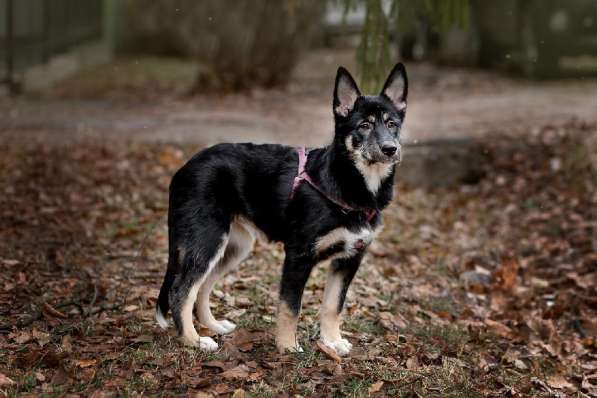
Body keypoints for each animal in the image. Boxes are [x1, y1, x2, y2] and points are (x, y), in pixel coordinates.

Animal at [154, 63, 408, 356]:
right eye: (364, 125)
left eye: (392, 124)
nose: (390, 149)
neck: (348, 185)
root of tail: (184, 168)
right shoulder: (298, 256)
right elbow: (290, 307)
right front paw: (287, 347)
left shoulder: (350, 258)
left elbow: (333, 306)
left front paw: (332, 342)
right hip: (206, 240)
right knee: (181, 290)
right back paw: (193, 340)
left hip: (234, 246)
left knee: (203, 287)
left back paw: (213, 326)